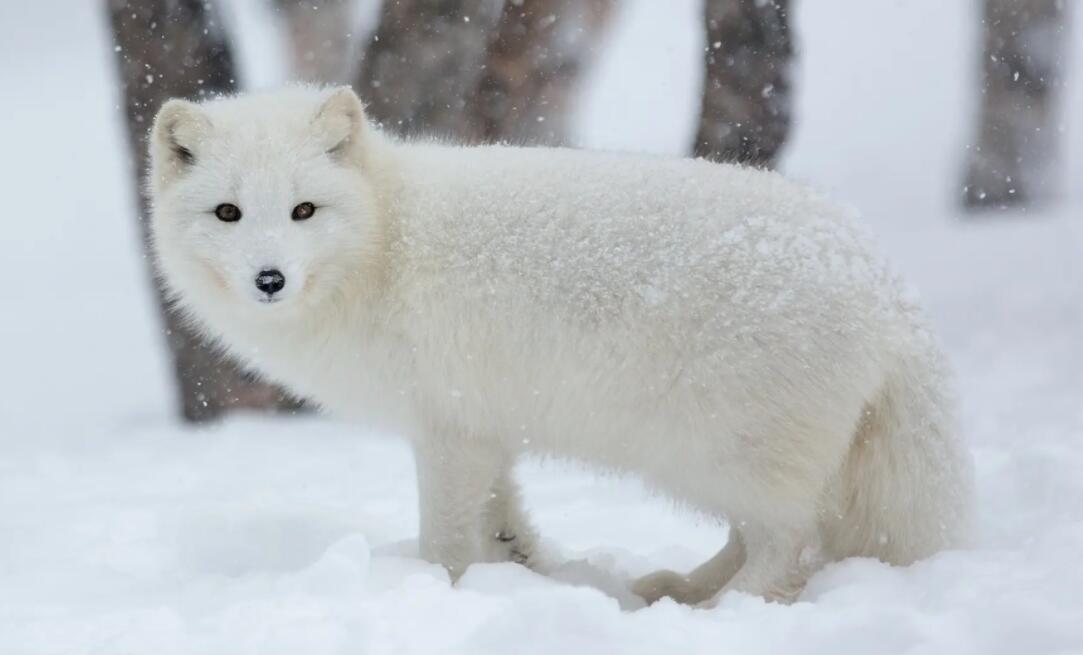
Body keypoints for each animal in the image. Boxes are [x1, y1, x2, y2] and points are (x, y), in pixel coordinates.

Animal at [146, 86, 974, 601]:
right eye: (227, 212)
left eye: (303, 210)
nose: (270, 278)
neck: (386, 237)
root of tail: (881, 283)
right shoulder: (484, 431)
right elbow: (502, 519)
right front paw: (520, 571)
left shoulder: (446, 431)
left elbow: (447, 539)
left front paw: (441, 592)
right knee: (761, 539)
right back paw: (678, 589)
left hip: (715, 450)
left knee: (787, 544)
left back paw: (718, 612)